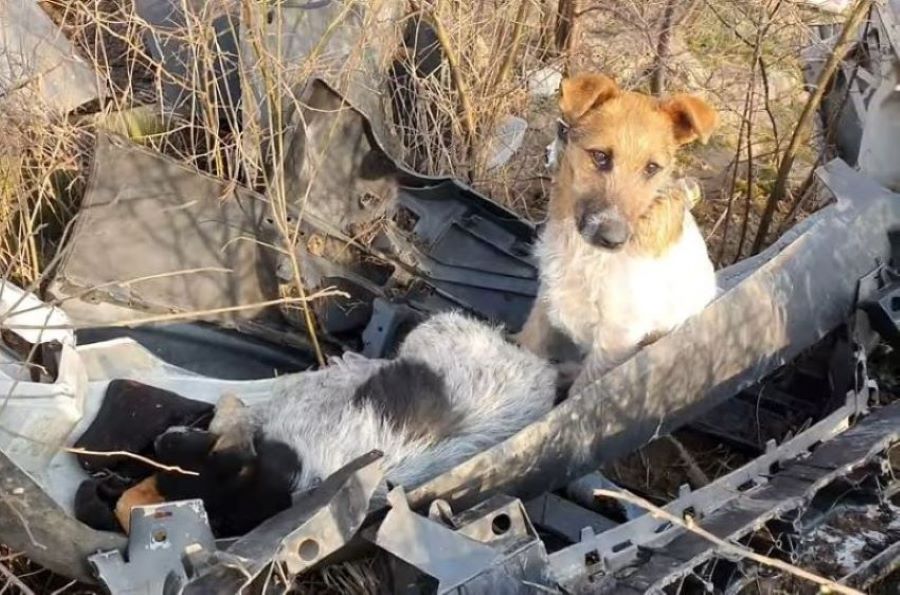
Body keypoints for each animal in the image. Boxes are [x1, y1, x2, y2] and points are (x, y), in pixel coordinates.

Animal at [520, 74, 716, 382]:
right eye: (600, 156)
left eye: (652, 168)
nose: (612, 239)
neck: (585, 253)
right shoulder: (547, 298)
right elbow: (528, 345)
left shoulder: (615, 340)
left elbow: (583, 388)